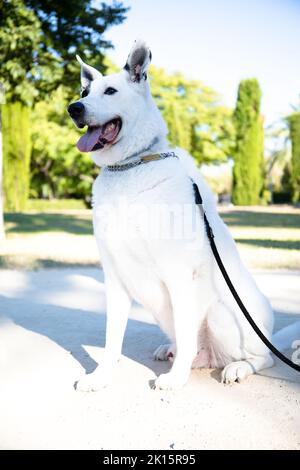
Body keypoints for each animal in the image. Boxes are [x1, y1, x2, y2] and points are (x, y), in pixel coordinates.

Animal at [68, 41, 298, 392]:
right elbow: (111, 340)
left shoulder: (178, 274)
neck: (131, 166)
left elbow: (185, 333)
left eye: (110, 91)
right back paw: (173, 350)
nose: (74, 108)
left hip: (223, 313)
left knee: (262, 358)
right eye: (84, 90)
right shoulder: (114, 278)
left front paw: (176, 380)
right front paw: (101, 376)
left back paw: (236, 368)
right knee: (190, 348)